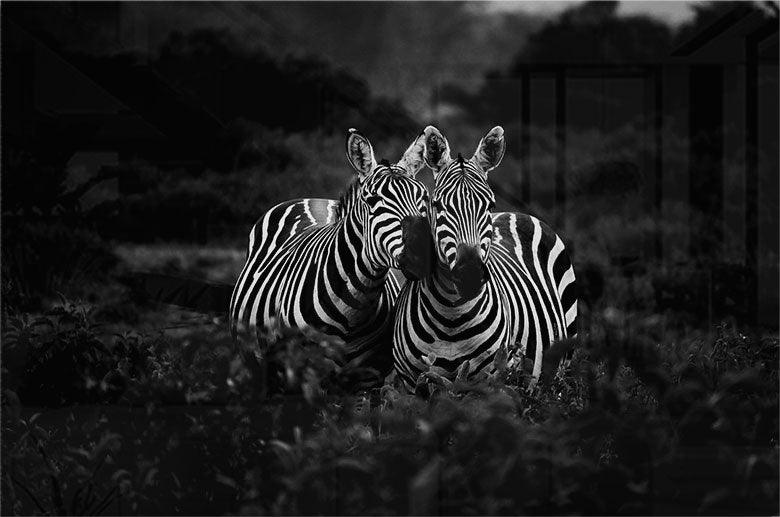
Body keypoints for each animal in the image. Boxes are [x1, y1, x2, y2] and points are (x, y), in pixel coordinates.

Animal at [229, 128, 432, 378]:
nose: (422, 256)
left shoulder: (369, 375)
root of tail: (312, 199)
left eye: (424, 198)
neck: (354, 307)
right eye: (373, 200)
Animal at [394, 126, 576, 388]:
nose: (469, 274)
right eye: (437, 205)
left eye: (489, 205)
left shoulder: (489, 380)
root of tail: (516, 213)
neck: (451, 317)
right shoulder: (410, 382)